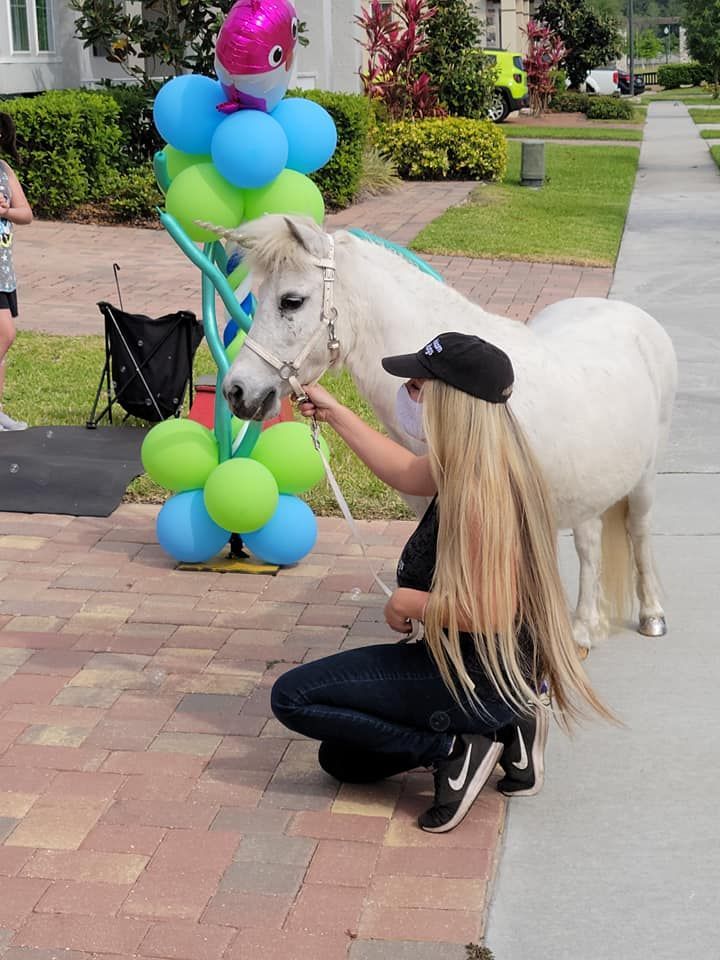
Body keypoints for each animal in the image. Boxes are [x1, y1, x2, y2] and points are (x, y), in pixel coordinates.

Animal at [214, 214, 678, 653]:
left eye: (291, 301)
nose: (237, 391)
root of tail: (633, 317)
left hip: (644, 479)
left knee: (637, 532)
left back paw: (648, 617)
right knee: (589, 540)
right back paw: (584, 627)